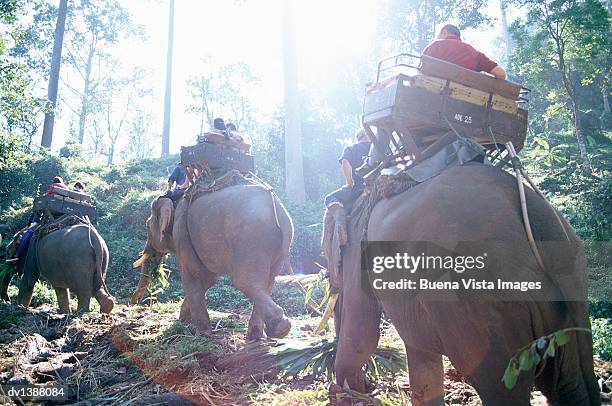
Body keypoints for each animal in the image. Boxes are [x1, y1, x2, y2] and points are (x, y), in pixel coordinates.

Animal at [132, 184, 296, 340]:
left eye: (147, 226)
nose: (133, 304)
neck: (174, 199)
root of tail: (278, 207)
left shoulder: (182, 234)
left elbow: (199, 277)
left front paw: (202, 332)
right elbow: (207, 280)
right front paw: (184, 321)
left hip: (250, 238)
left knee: (245, 282)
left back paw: (279, 329)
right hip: (275, 244)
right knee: (268, 281)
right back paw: (258, 336)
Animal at [332, 163, 600, 406]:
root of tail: (536, 212)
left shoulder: (357, 248)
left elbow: (361, 335)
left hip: (482, 311)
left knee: (501, 390)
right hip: (568, 294)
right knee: (569, 386)